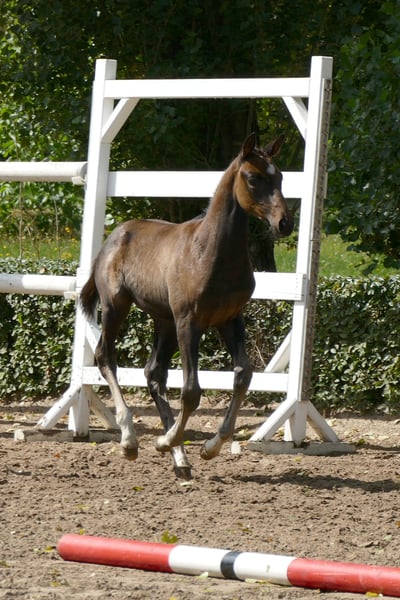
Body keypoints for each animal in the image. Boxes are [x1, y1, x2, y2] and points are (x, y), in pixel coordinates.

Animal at [80, 132, 293, 478]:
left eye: (281, 177)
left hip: (163, 321)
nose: (284, 223)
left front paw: (209, 446)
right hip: (117, 307)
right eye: (252, 177)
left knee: (153, 372)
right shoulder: (189, 322)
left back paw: (178, 456)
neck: (211, 252)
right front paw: (168, 441)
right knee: (105, 356)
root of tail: (113, 236)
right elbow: (192, 390)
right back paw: (130, 439)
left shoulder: (230, 319)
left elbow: (243, 375)